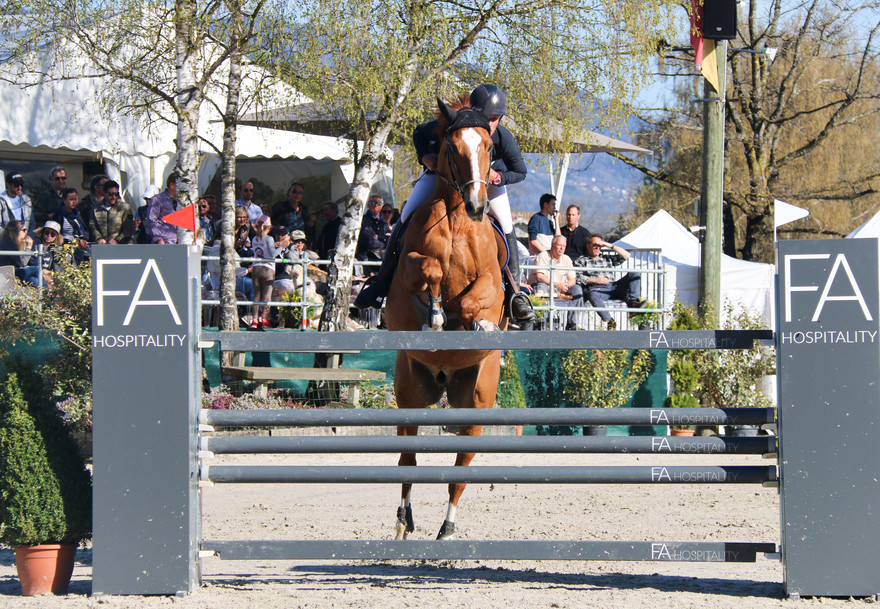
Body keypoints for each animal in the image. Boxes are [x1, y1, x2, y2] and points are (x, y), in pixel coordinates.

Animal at [385, 97, 508, 541]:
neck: (456, 219)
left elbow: (476, 299)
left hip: (476, 403)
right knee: (406, 464)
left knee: (459, 474)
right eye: (452, 149)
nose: (477, 206)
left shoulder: (493, 282)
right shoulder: (407, 270)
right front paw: (435, 315)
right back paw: (403, 522)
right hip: (410, 392)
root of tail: (443, 377)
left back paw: (447, 528)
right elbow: (431, 269)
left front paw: (478, 325)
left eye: (489, 147)